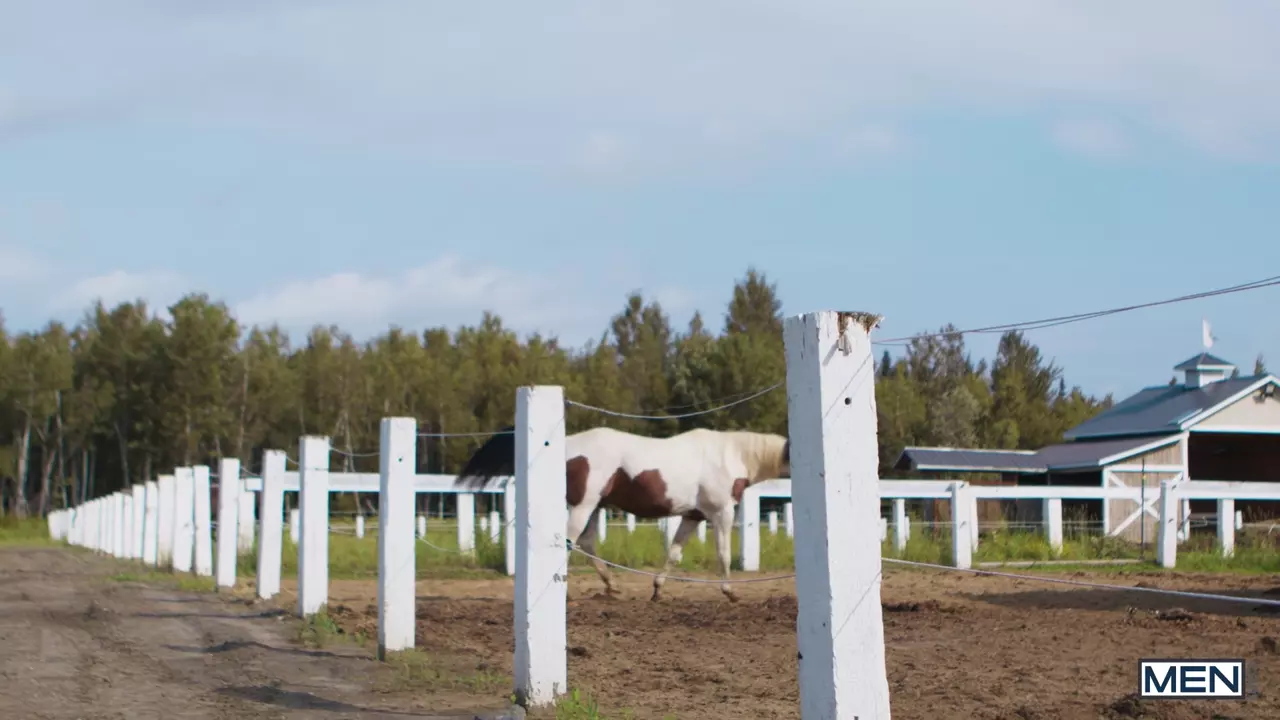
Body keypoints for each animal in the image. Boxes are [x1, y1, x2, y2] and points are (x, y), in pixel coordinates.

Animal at [454, 425, 790, 602]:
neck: (731, 455)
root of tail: (565, 445)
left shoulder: (692, 516)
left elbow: (674, 552)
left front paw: (657, 590)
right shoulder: (721, 512)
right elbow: (723, 553)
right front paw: (730, 592)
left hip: (594, 507)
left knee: (585, 543)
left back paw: (611, 585)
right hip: (584, 505)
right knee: (569, 541)